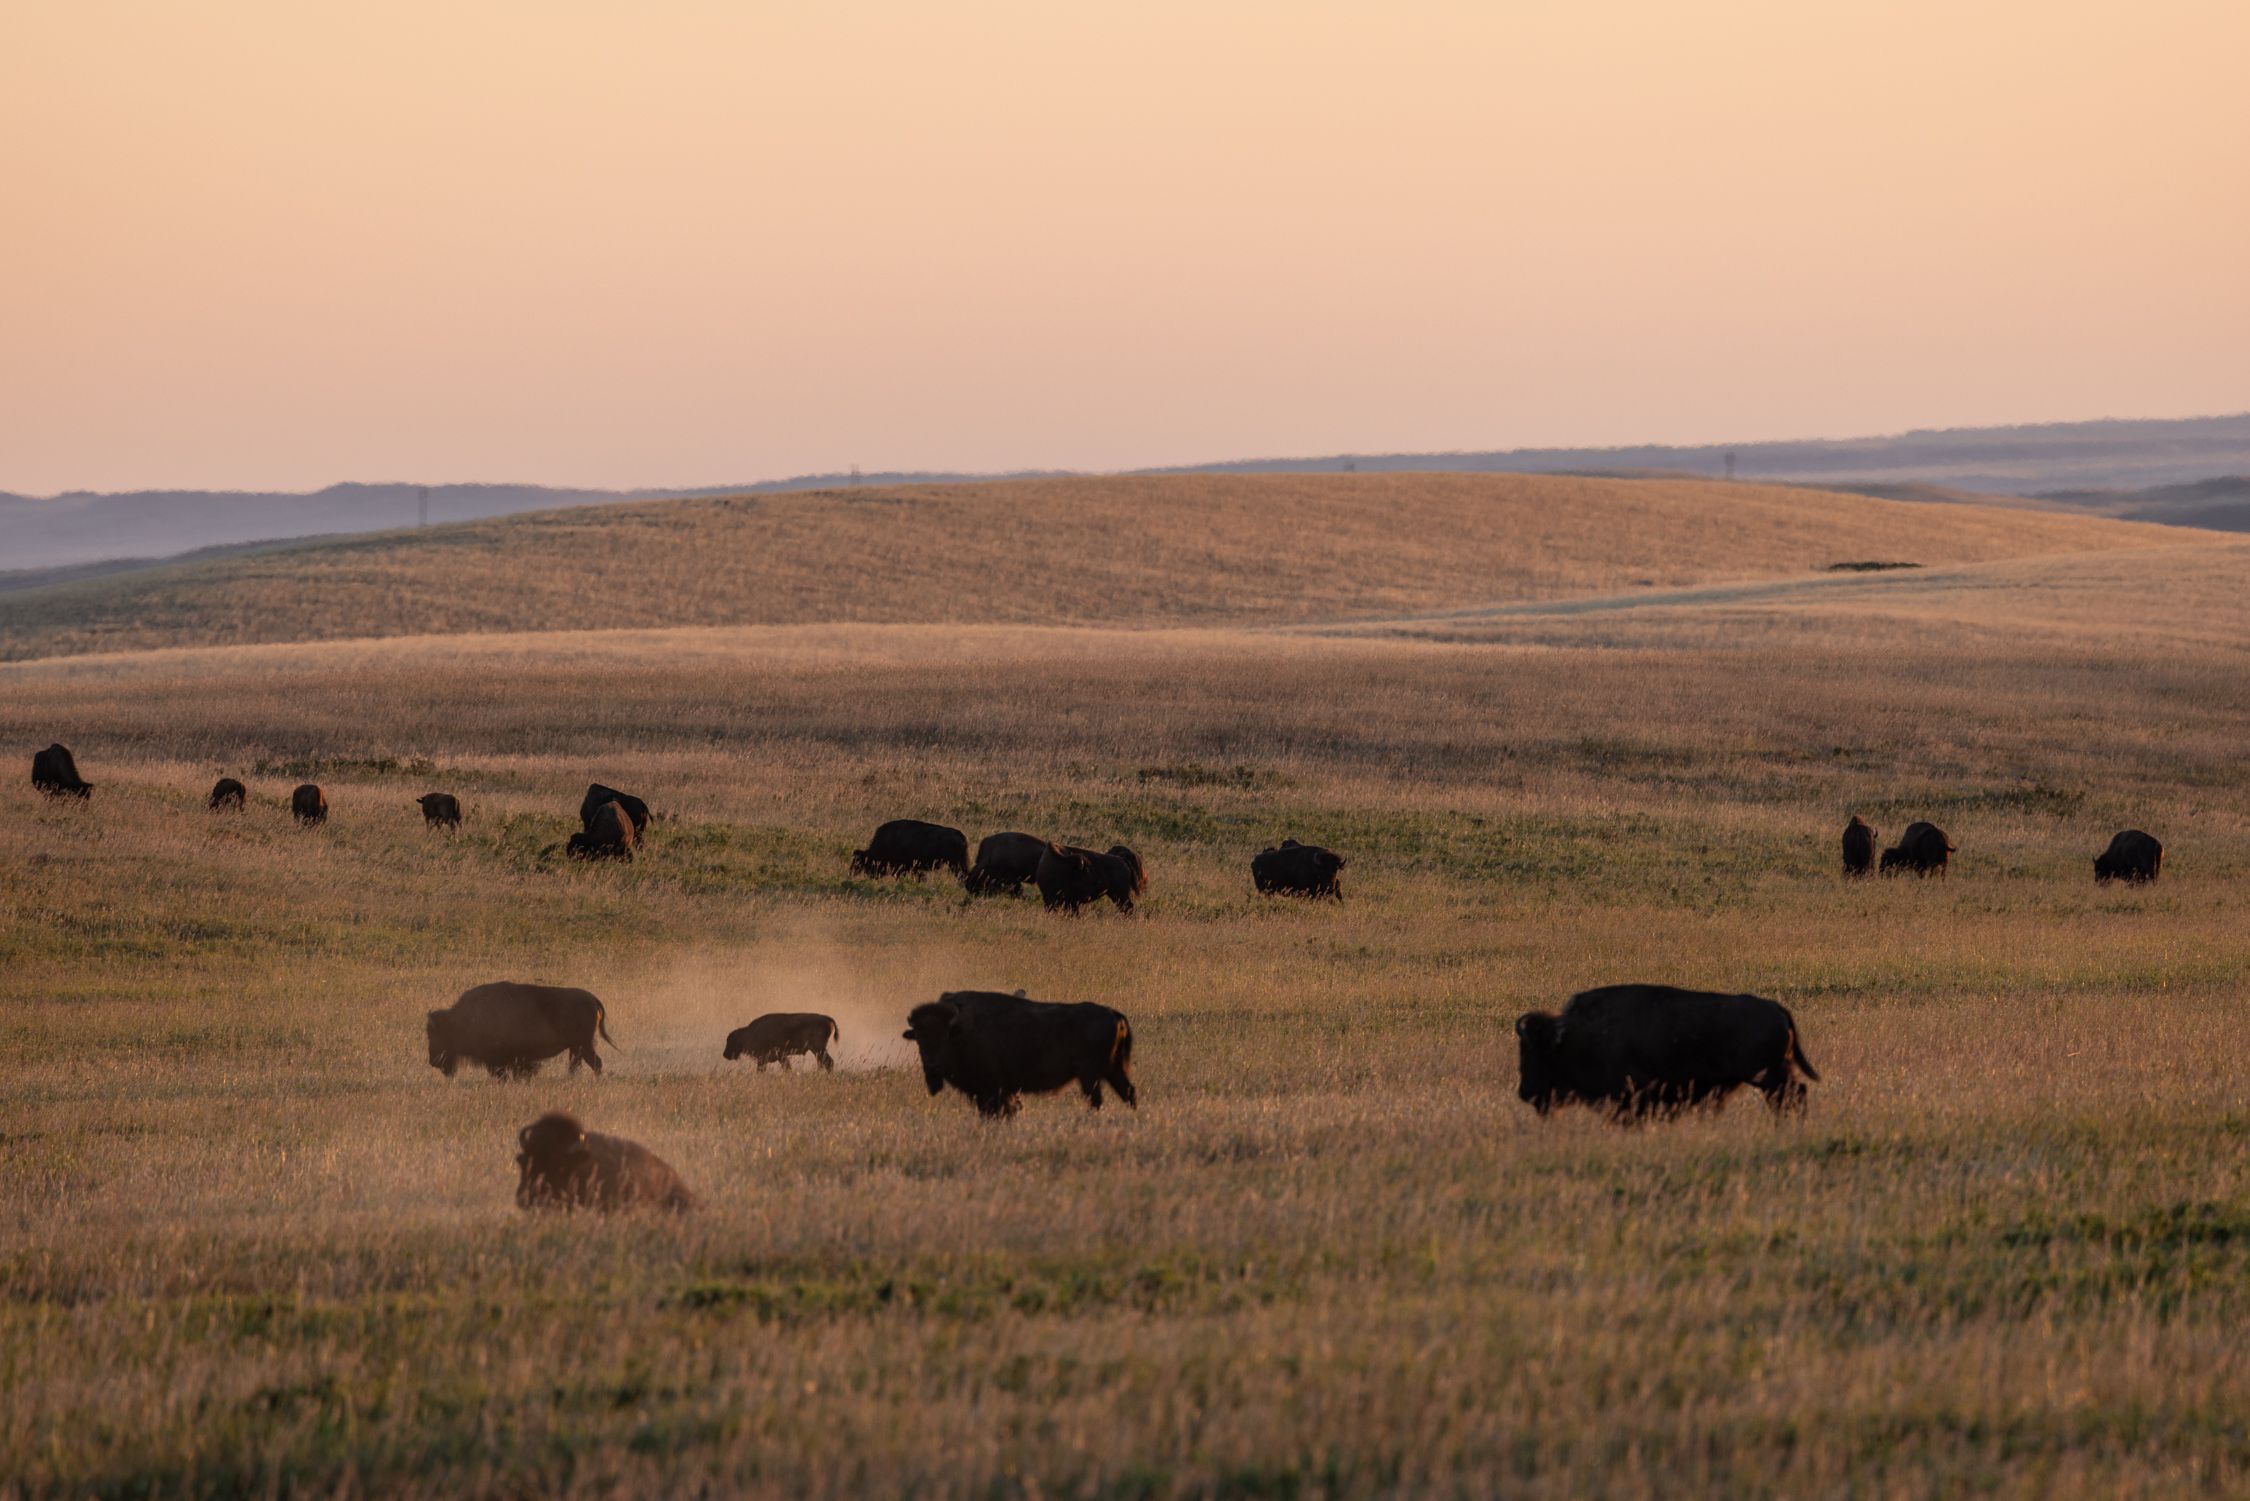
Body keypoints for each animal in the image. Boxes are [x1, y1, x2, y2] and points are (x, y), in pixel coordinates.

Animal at [427, 981, 618, 1079]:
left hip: (582, 1044)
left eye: (438, 1035)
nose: (433, 1061)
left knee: (594, 1062)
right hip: (577, 1046)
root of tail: (592, 999)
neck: (461, 1020)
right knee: (580, 1063)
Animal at [902, 989, 1137, 1118]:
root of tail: (1114, 1015)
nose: (931, 1065)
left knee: (1097, 1100)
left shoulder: (991, 1090)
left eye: (944, 1037)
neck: (961, 1030)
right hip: (1112, 1071)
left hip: (1090, 1076)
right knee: (1128, 1092)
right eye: (919, 1039)